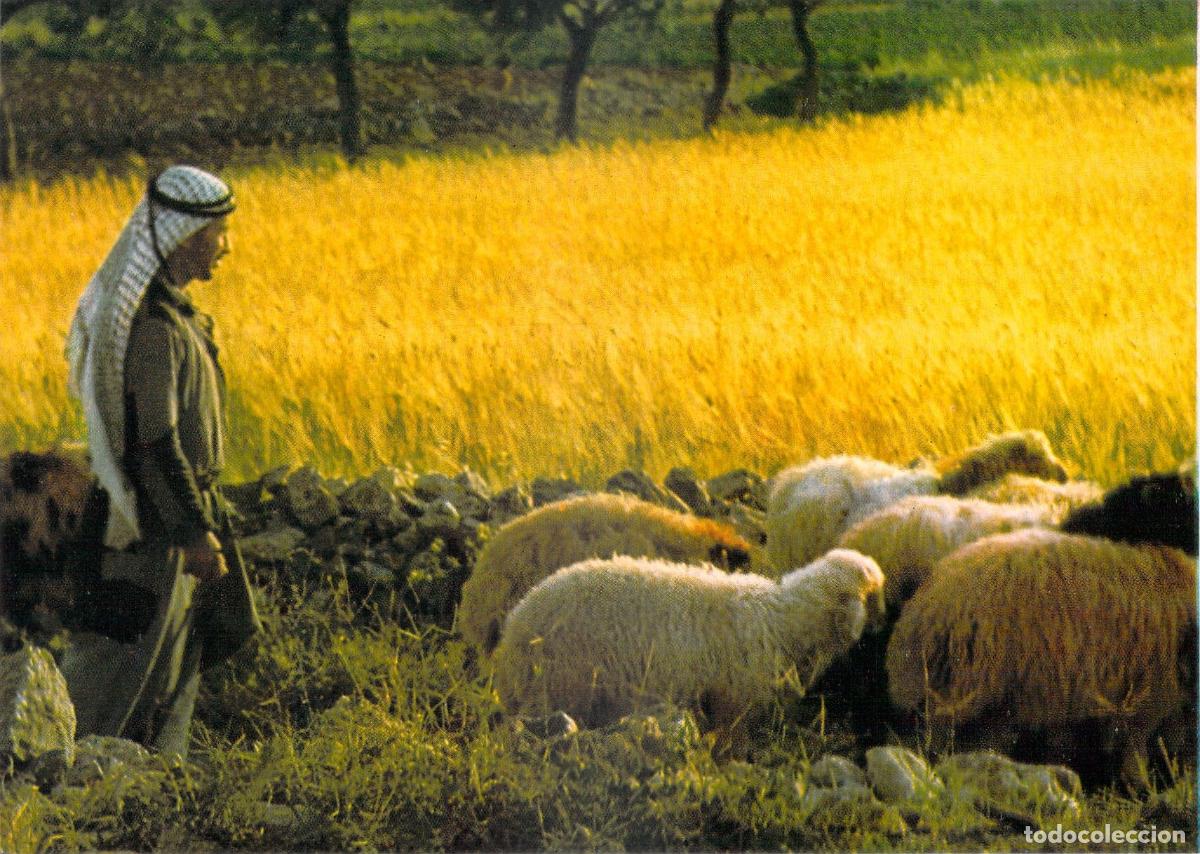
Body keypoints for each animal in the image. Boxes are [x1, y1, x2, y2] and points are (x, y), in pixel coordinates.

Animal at [492, 549, 886, 752]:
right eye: (871, 595)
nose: (881, 625)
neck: (783, 617)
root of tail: (515, 626)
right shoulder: (733, 701)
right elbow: (731, 744)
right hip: (558, 686)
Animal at [886, 527, 1196, 784]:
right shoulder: (1148, 696)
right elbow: (1133, 749)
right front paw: (1140, 787)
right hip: (972, 685)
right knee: (940, 740)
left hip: (991, 694)